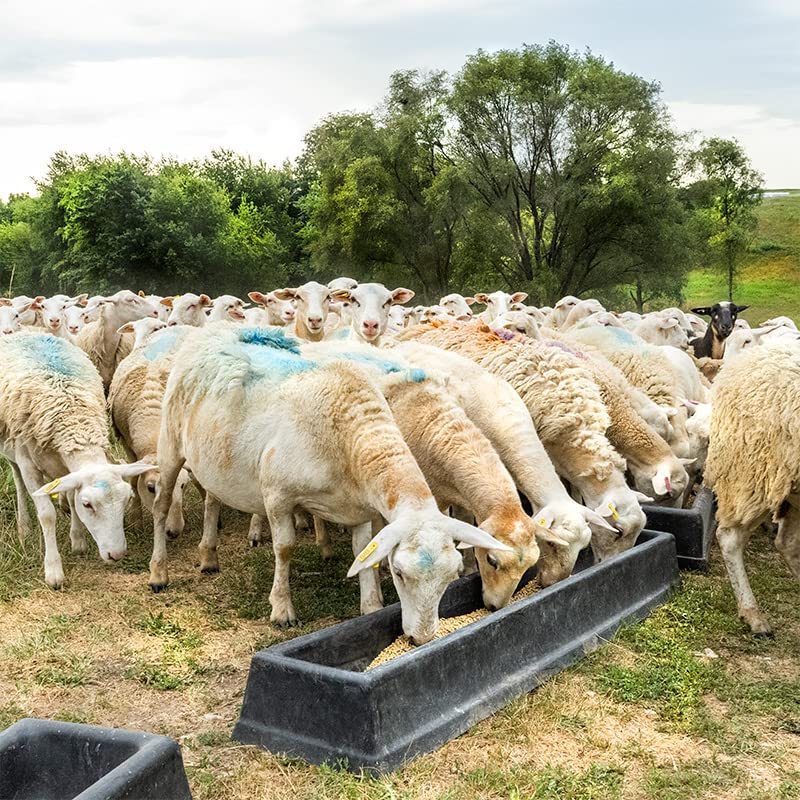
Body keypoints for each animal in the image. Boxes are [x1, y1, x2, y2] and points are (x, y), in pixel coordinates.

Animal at [0, 332, 153, 586]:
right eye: (88, 505)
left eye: (127, 500)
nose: (117, 554)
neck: (75, 422)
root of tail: (27, 331)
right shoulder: (29, 465)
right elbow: (47, 514)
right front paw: (53, 570)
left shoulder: (68, 469)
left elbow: (71, 498)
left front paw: (78, 541)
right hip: (11, 447)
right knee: (18, 479)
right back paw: (24, 527)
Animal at [149, 324, 510, 643]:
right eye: (399, 573)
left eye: (452, 576)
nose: (420, 638)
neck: (346, 435)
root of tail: (210, 330)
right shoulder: (277, 496)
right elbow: (284, 548)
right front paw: (282, 610)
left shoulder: (360, 508)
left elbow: (363, 553)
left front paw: (371, 605)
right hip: (169, 444)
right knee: (161, 506)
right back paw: (158, 574)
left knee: (212, 500)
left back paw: (209, 557)